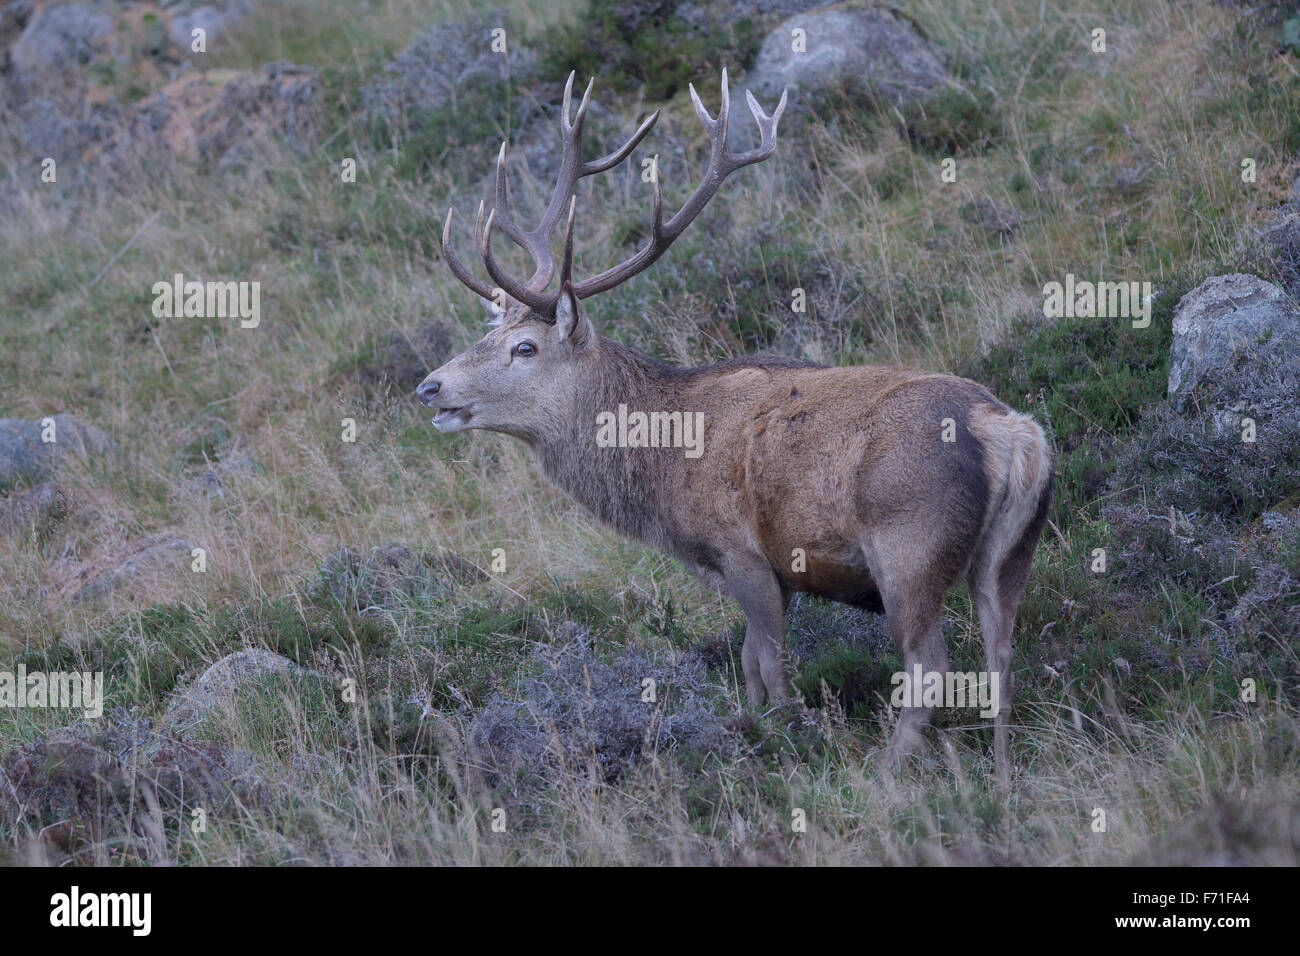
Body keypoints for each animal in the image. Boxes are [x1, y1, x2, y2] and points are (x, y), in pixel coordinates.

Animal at [416, 70, 1052, 788]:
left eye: (523, 347)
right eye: (486, 334)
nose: (431, 387)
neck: (662, 465)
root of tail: (1012, 434)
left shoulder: (742, 551)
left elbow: (771, 665)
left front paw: (790, 742)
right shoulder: (771, 572)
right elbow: (748, 662)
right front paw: (753, 729)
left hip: (909, 544)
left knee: (929, 667)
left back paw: (887, 775)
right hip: (1010, 548)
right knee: (1002, 656)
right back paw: (1003, 778)